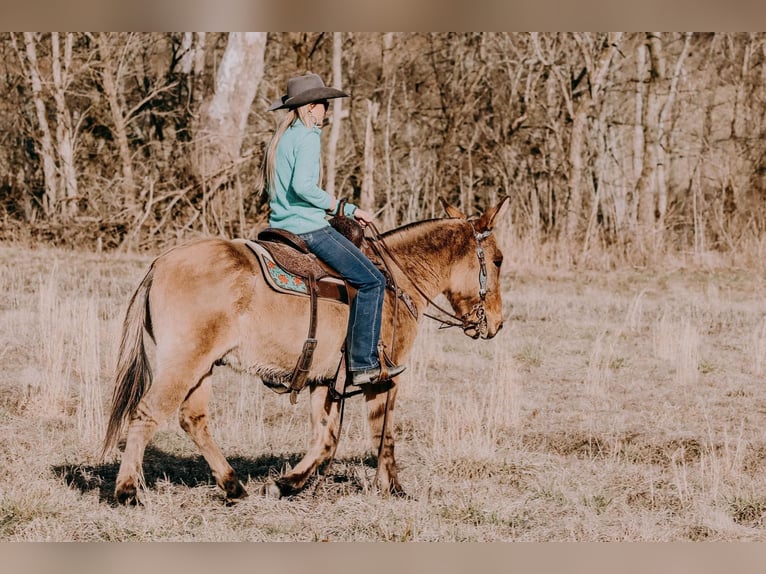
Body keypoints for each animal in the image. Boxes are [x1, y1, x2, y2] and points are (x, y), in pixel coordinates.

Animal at [102, 197, 510, 504]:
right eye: (498, 260)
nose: (497, 323)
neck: (397, 280)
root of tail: (159, 265)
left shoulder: (324, 380)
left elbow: (325, 438)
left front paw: (288, 483)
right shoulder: (383, 378)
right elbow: (382, 434)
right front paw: (393, 489)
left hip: (201, 367)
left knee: (194, 420)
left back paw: (233, 486)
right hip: (183, 364)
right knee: (147, 413)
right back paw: (127, 491)